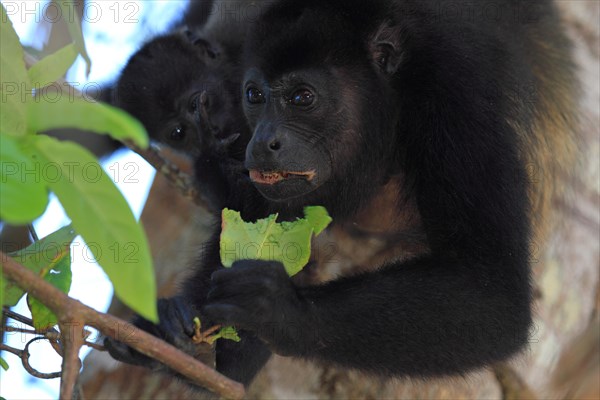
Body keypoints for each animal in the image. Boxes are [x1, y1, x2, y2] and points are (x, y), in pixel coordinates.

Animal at [105, 0, 580, 392]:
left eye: (302, 97)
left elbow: (493, 296)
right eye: (254, 95)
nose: (261, 143)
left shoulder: (457, 92)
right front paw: (177, 332)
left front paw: (280, 310)